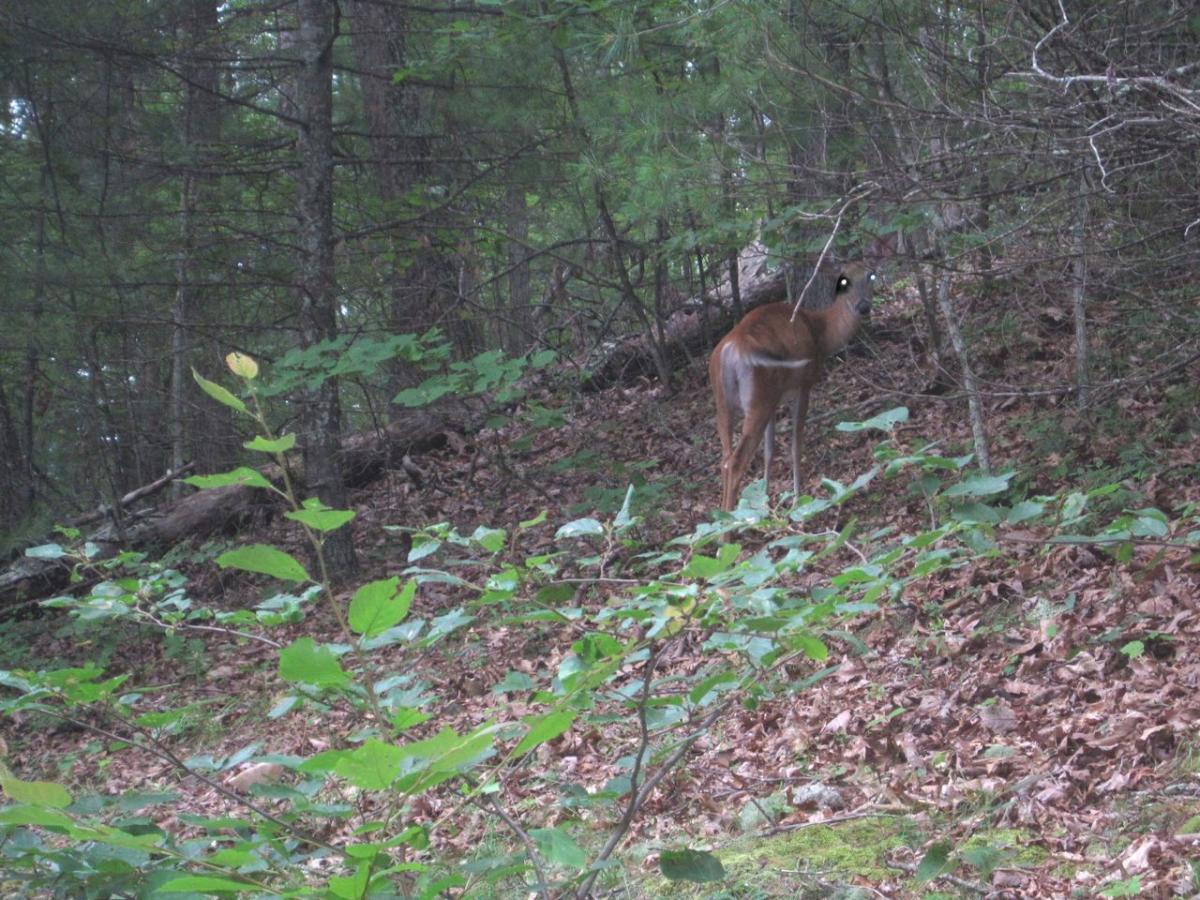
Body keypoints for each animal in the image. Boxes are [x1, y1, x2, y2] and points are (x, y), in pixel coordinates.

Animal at [709, 257, 880, 511]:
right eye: (844, 280)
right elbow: (795, 445)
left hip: (726, 400)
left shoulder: (775, 399)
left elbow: (770, 451)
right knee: (736, 461)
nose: (863, 307)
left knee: (724, 458)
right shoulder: (804, 384)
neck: (821, 332)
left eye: (871, 276)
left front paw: (765, 500)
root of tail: (732, 349)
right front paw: (798, 499)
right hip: (758, 396)